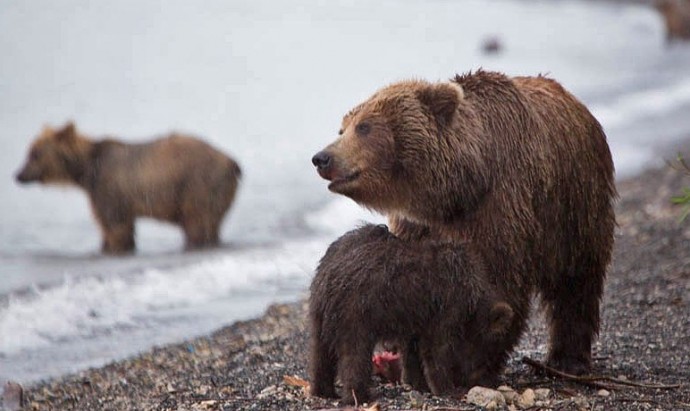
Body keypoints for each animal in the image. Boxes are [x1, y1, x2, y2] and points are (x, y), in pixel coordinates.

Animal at [16, 121, 242, 254]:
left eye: (34, 153)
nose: (18, 175)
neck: (86, 172)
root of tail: (231, 161)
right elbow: (107, 227)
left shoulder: (109, 190)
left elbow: (116, 227)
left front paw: (116, 247)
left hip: (197, 185)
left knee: (197, 224)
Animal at [312, 70, 612, 376]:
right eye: (342, 129)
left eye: (364, 126)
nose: (322, 158)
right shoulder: (415, 227)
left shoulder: (500, 209)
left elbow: (499, 284)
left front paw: (476, 360)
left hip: (574, 205)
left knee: (576, 282)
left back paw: (568, 358)